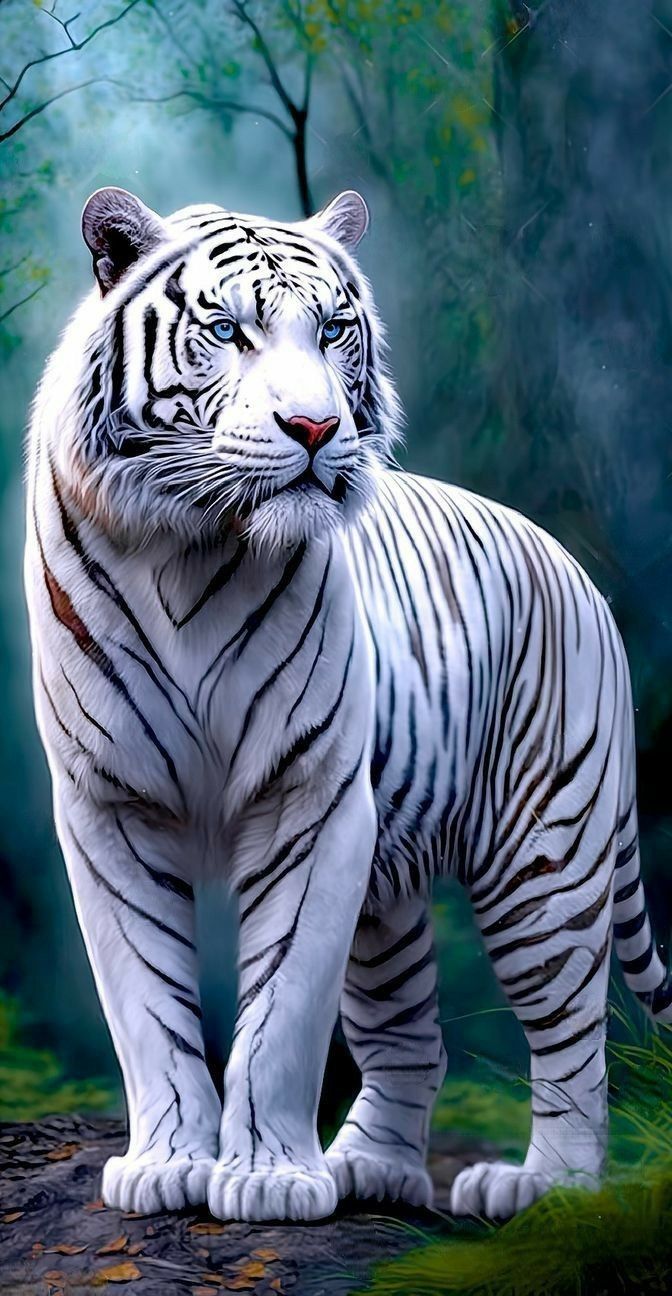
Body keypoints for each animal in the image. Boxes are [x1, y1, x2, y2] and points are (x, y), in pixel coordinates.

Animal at [24, 185, 672, 1226]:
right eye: (227, 330)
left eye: (332, 331)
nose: (316, 428)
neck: (188, 543)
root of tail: (576, 571)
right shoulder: (108, 801)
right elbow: (146, 1000)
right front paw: (168, 1167)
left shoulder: (313, 796)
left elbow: (284, 1004)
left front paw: (271, 1183)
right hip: (387, 891)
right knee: (413, 1035)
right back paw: (369, 1166)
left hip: (546, 851)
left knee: (574, 1035)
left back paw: (544, 1190)